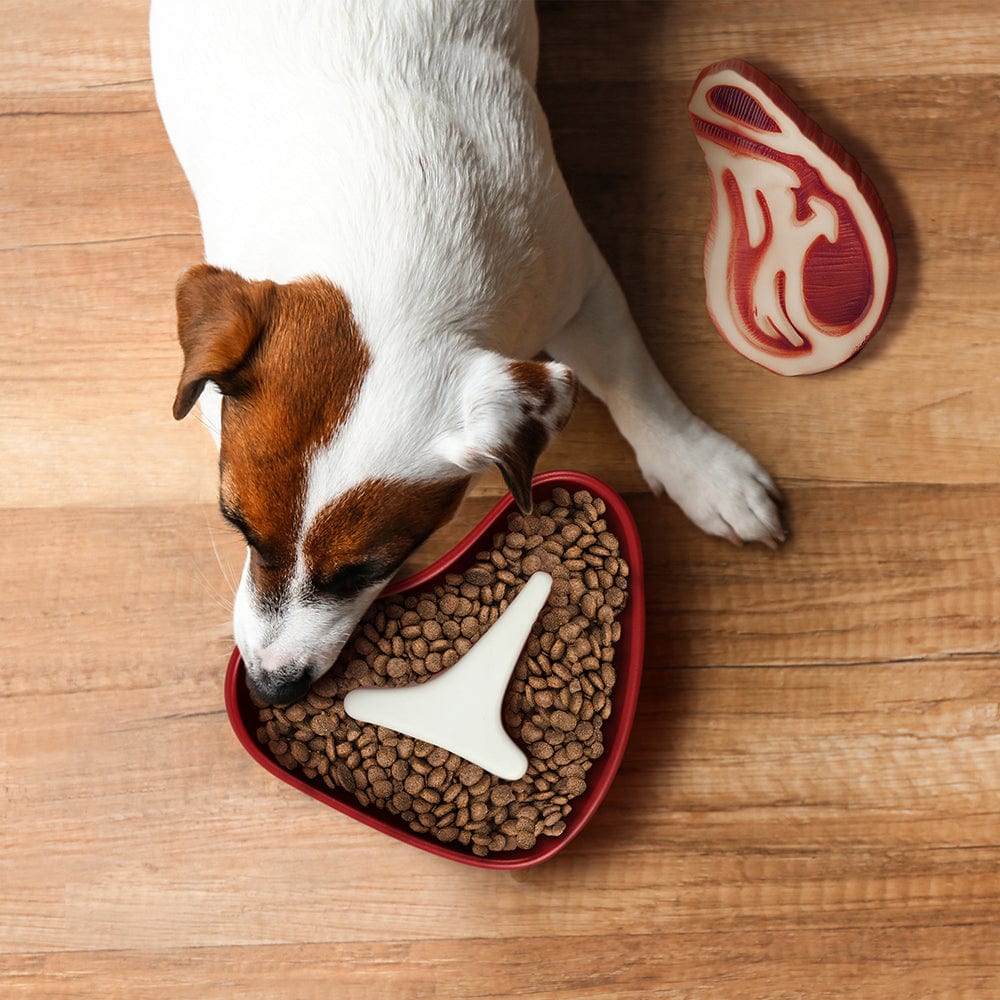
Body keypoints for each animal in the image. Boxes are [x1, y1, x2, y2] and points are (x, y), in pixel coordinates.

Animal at [152, 0, 784, 704]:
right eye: (235, 525)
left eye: (366, 569)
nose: (271, 687)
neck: (390, 234)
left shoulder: (578, 283)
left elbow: (632, 385)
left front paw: (701, 469)